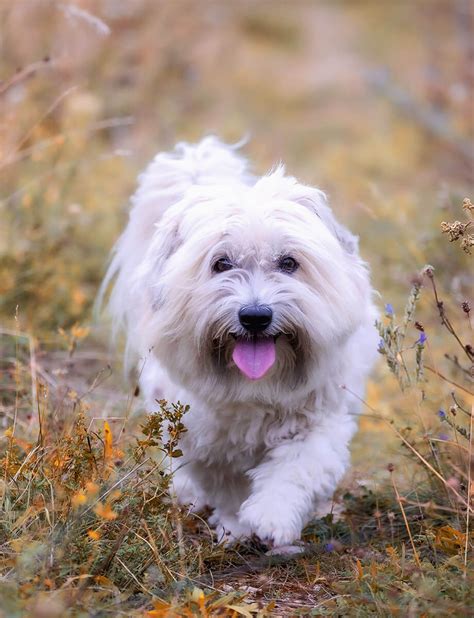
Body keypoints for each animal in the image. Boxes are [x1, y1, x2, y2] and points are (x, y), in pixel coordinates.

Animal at [103, 137, 378, 552]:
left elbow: (294, 469)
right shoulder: (205, 441)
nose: (255, 315)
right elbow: (229, 488)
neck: (256, 387)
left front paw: (272, 519)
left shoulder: (319, 424)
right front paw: (237, 528)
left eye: (288, 262)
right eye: (221, 263)